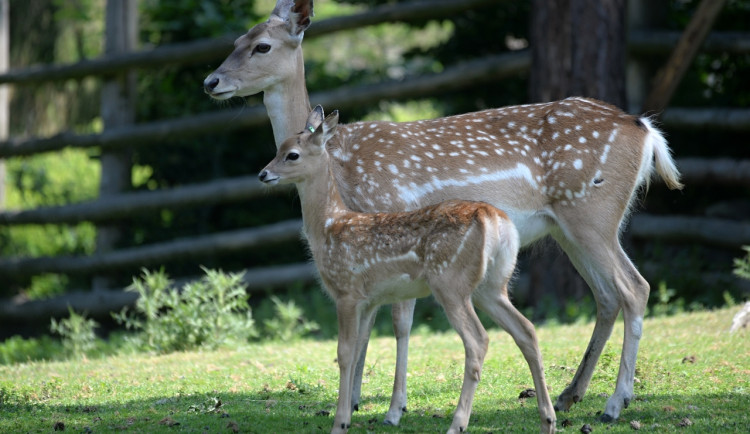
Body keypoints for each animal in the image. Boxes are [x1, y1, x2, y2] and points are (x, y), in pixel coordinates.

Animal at [258, 105, 560, 434]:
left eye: (292, 154)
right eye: (278, 149)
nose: (263, 174)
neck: (329, 224)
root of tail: (492, 217)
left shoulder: (347, 290)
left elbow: (344, 353)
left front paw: (339, 423)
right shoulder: (369, 299)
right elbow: (360, 347)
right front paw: (350, 414)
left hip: (450, 281)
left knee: (478, 340)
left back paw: (457, 424)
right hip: (492, 285)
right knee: (526, 330)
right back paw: (548, 419)